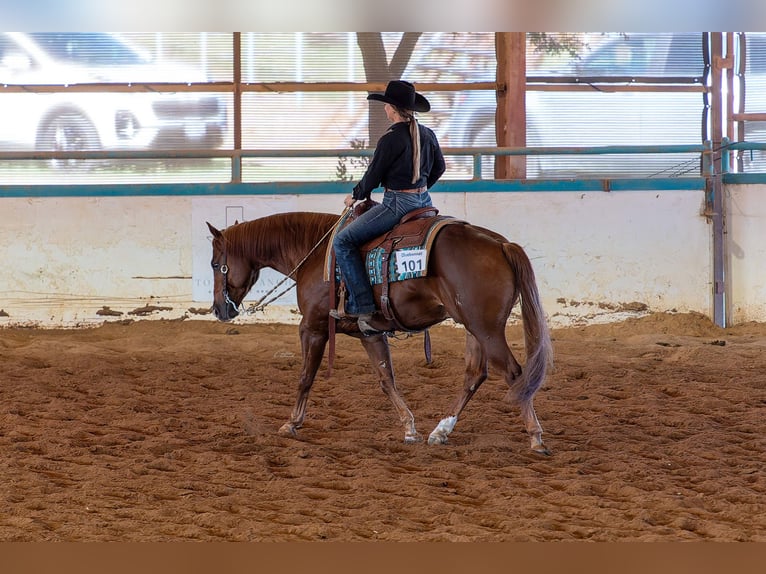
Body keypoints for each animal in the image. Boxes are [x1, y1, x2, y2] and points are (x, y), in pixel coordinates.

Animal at [206, 209, 553, 454]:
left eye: (214, 263)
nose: (219, 310)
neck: (316, 254)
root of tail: (501, 244)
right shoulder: (369, 333)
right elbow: (386, 379)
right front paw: (409, 428)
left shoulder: (313, 327)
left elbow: (306, 377)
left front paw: (291, 424)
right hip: (473, 328)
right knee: (474, 374)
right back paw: (440, 431)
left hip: (487, 328)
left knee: (513, 373)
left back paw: (535, 437)